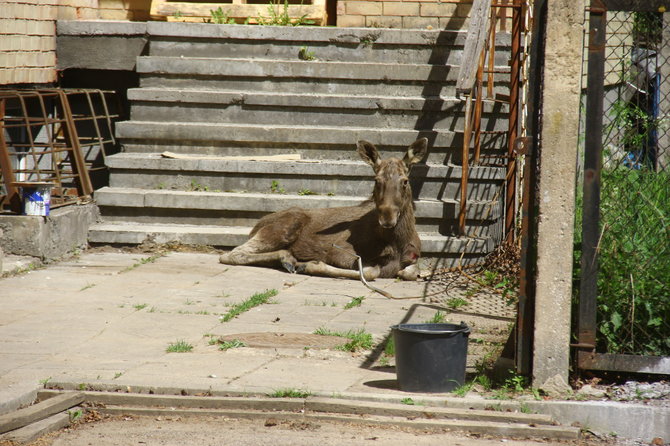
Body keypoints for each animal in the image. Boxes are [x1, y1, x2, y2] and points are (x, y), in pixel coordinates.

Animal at [220, 138, 430, 280]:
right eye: (376, 181)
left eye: (405, 181)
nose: (387, 218)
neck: (397, 242)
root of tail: (255, 227)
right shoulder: (339, 251)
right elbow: (371, 271)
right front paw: (310, 265)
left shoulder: (414, 257)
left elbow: (411, 272)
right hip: (286, 225)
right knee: (231, 253)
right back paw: (287, 258)